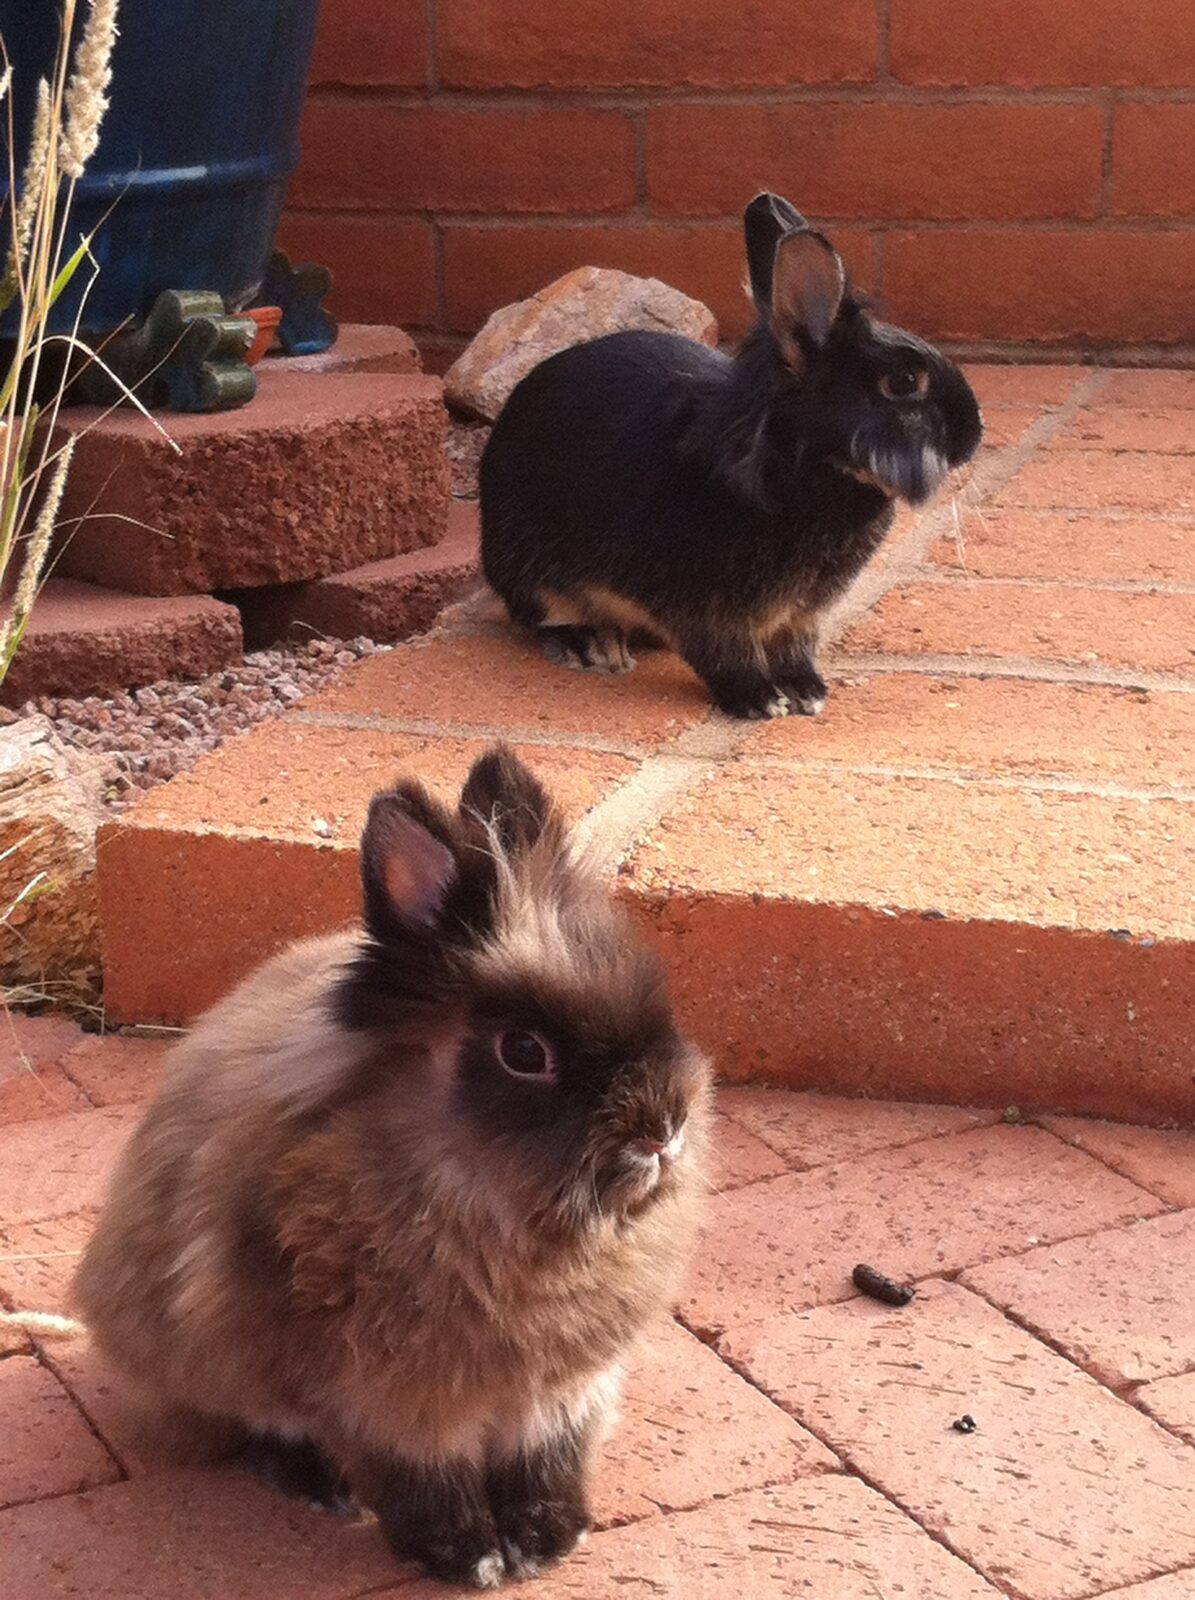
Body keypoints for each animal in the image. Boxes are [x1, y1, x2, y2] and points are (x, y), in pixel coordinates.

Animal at [72, 746, 711, 1589]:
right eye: (523, 1052)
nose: (662, 1131)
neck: (496, 1210)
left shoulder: (561, 1392)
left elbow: (546, 1459)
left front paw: (548, 1539)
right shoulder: (384, 1398)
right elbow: (418, 1477)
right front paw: (467, 1557)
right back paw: (317, 1486)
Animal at [480, 192, 983, 720]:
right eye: (903, 383)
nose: (974, 434)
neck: (798, 461)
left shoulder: (799, 614)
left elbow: (792, 647)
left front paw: (807, 690)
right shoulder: (705, 608)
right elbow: (725, 655)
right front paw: (759, 700)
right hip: (533, 569)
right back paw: (593, 646)